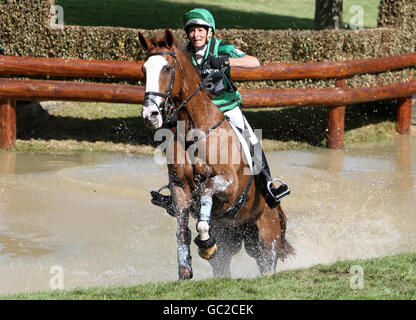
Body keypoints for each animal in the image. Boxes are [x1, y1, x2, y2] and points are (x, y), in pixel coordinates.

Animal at [137, 30, 292, 280]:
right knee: (222, 266)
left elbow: (207, 189)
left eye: (167, 69)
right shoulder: (180, 187)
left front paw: (205, 242)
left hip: (265, 239)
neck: (193, 129)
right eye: (144, 70)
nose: (150, 114)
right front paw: (185, 268)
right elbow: (182, 230)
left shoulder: (230, 183)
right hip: (231, 239)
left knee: (266, 264)